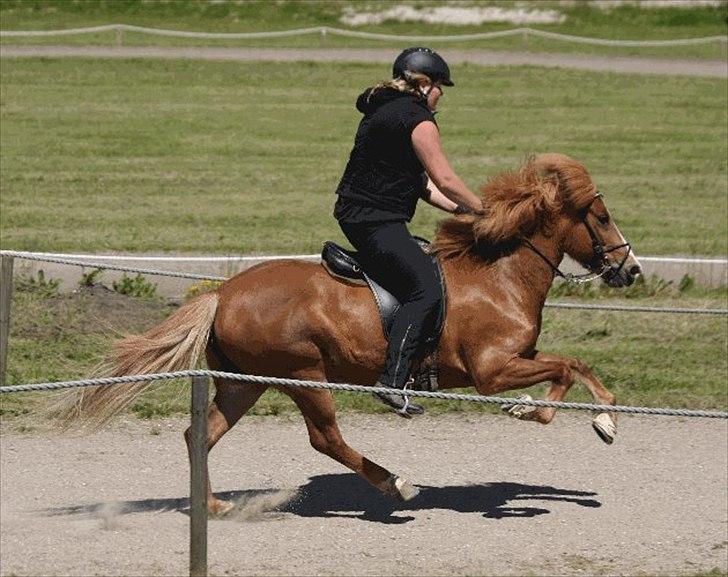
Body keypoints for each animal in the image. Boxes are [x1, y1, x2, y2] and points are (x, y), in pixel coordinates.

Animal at [64, 152, 644, 512]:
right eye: (601, 216)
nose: (631, 269)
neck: (498, 274)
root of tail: (222, 293)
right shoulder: (491, 372)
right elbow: (564, 369)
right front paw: (540, 412)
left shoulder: (519, 358)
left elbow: (576, 364)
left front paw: (604, 419)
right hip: (305, 376)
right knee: (325, 439)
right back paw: (397, 484)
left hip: (246, 383)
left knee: (199, 435)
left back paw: (211, 506)